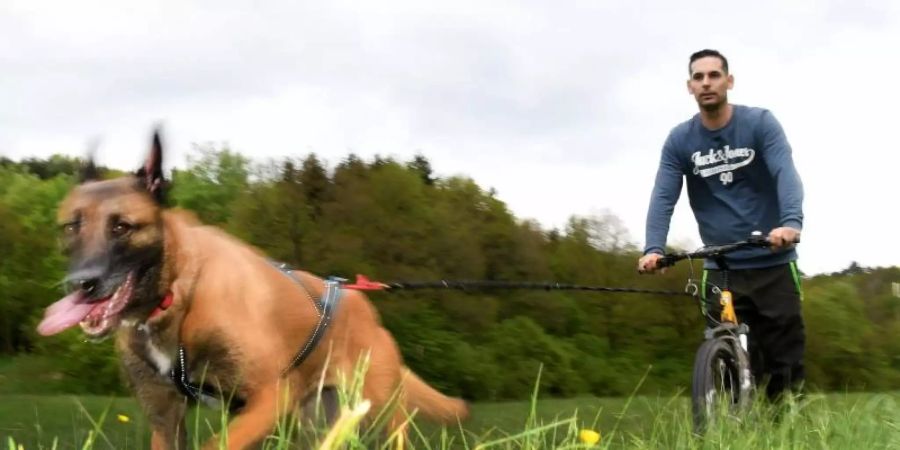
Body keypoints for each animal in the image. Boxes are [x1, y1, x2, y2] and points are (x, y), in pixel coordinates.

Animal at [37, 128, 472, 448]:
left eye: (122, 227)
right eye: (71, 226)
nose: (81, 284)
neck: (178, 292)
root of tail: (368, 312)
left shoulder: (268, 396)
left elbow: (217, 444)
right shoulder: (165, 416)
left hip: (377, 415)